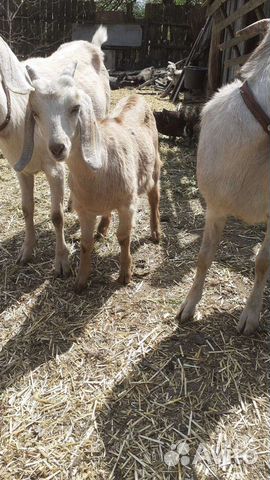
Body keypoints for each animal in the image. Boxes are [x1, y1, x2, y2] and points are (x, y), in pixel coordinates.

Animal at [0, 26, 109, 276]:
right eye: (34, 112)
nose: (57, 146)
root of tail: (92, 44)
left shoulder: (54, 169)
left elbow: (56, 216)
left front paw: (61, 262)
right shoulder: (20, 169)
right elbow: (27, 209)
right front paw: (26, 251)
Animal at [15, 65, 161, 290]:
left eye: (75, 108)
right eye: (35, 113)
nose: (57, 148)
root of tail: (135, 95)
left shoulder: (127, 205)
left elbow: (123, 238)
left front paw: (125, 274)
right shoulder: (84, 210)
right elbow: (85, 244)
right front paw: (81, 281)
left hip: (153, 166)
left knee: (154, 197)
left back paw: (155, 232)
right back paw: (102, 228)